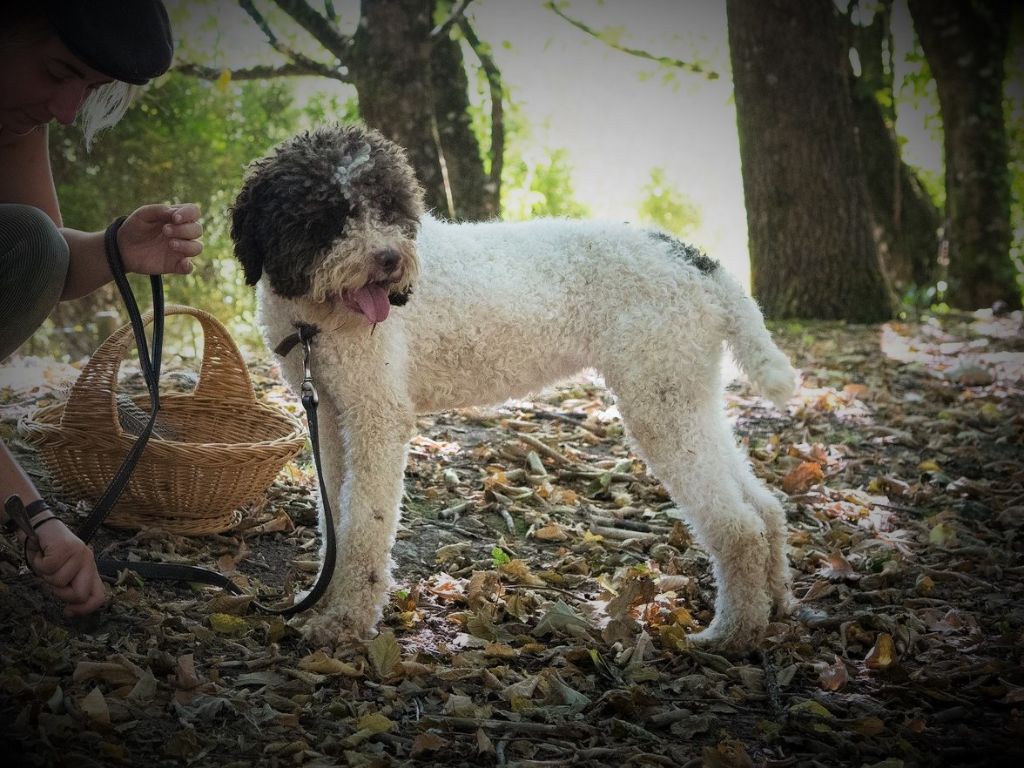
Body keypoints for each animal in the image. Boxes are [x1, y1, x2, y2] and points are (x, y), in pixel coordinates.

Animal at [234, 121, 798, 651]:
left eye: (390, 205)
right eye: (328, 214)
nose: (391, 260)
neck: (317, 316)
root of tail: (698, 261)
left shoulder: (377, 416)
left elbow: (363, 526)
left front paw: (344, 623)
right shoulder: (332, 413)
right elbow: (334, 519)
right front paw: (322, 604)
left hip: (660, 404)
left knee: (738, 525)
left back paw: (734, 632)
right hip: (688, 396)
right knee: (764, 507)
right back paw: (776, 605)